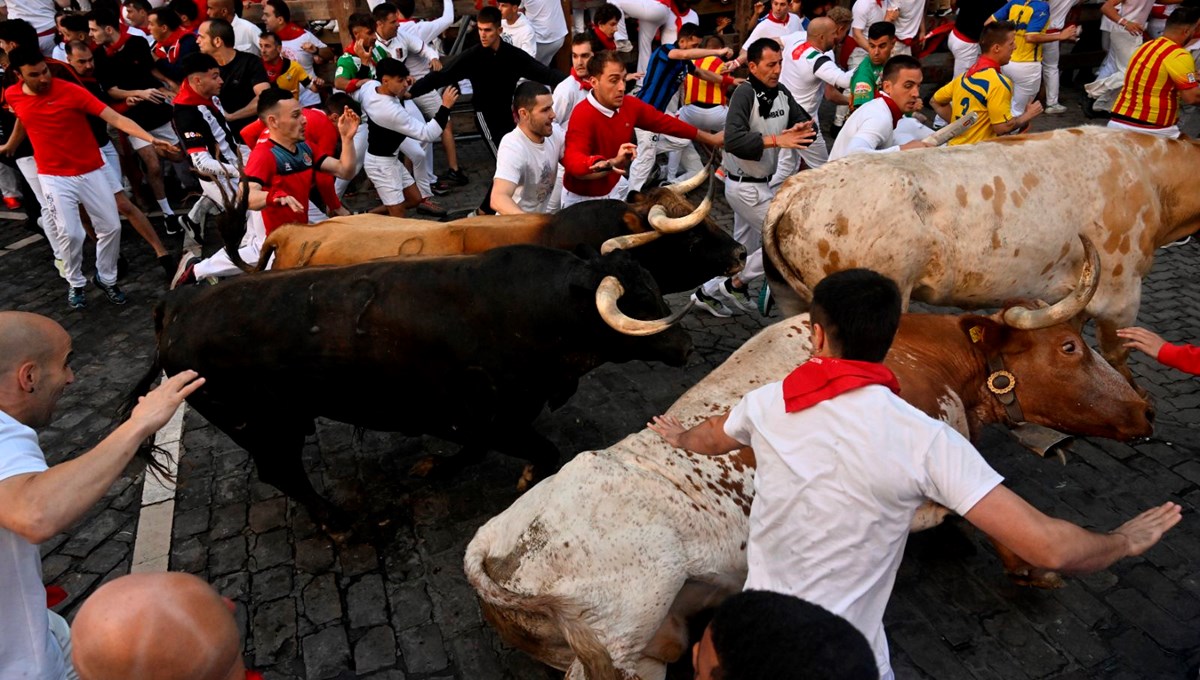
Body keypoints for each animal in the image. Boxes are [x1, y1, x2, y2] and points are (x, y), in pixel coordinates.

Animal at [123, 247, 696, 530]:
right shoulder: (485, 417)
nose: (685, 345)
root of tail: (175, 306)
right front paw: (526, 476)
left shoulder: (482, 421)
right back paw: (336, 520)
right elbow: (542, 451)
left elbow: (475, 452)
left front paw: (433, 468)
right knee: (281, 471)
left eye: (653, 285)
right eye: (639, 302)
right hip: (262, 424)